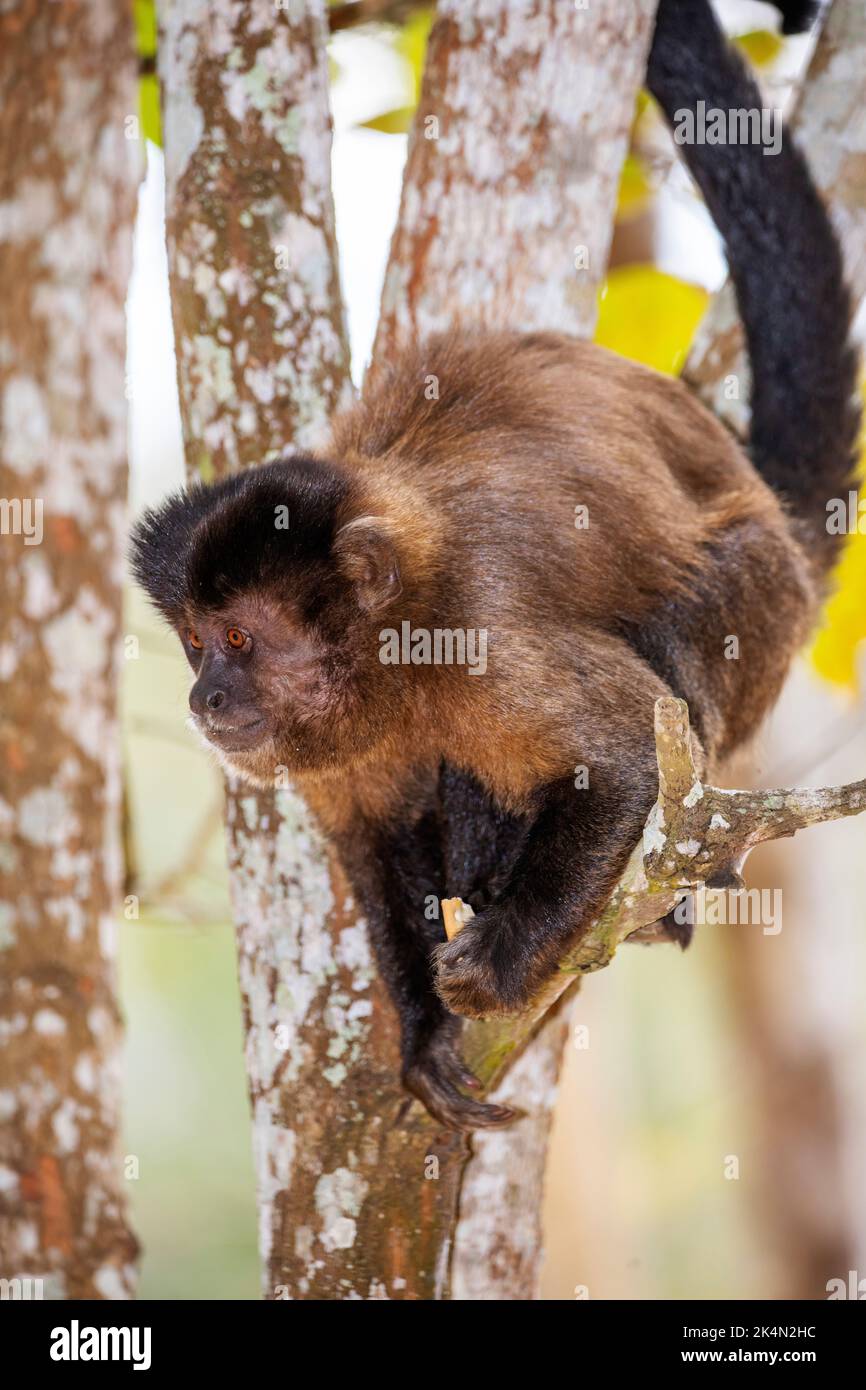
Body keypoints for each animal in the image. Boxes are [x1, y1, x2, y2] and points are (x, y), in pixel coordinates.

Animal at [132, 0, 856, 1128]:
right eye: (198, 642)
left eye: (241, 639)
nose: (206, 695)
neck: (391, 659)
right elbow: (371, 846)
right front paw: (425, 1033)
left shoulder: (474, 636)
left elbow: (626, 755)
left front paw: (504, 958)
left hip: (767, 598)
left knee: (684, 652)